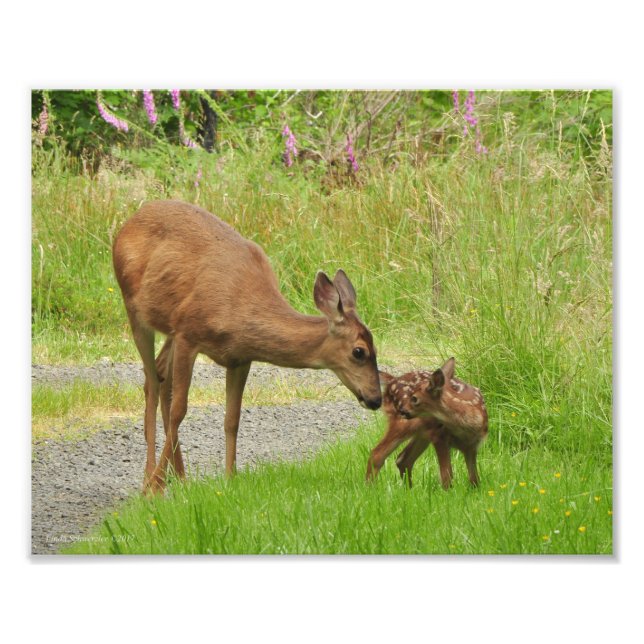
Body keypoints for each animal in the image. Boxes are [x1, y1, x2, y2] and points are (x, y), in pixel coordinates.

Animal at [112, 200, 382, 494]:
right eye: (359, 352)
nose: (376, 399)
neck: (238, 311)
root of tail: (129, 221)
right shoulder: (188, 335)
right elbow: (179, 411)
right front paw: (155, 487)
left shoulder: (239, 358)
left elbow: (232, 419)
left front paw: (230, 479)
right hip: (134, 308)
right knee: (152, 382)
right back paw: (150, 478)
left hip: (170, 325)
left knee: (161, 375)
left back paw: (180, 476)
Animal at [366, 357, 488, 489]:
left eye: (414, 398)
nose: (402, 410)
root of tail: (391, 381)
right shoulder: (439, 436)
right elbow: (447, 475)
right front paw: (448, 492)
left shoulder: (472, 445)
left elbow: (474, 478)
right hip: (404, 424)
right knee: (377, 454)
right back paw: (370, 488)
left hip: (423, 433)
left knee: (403, 459)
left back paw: (409, 490)